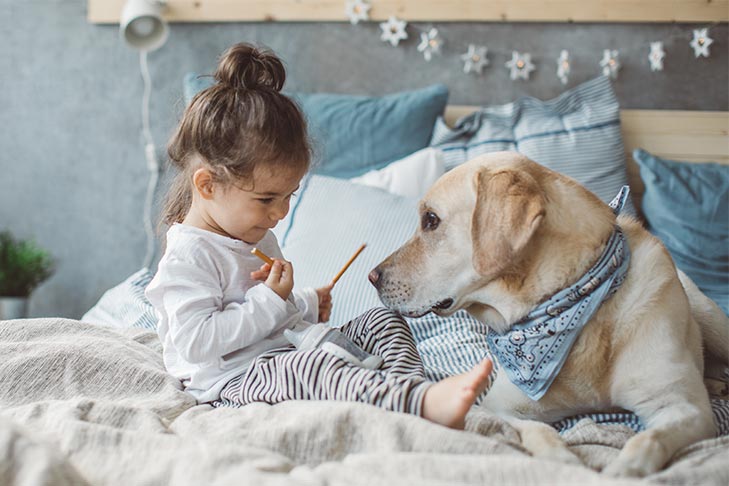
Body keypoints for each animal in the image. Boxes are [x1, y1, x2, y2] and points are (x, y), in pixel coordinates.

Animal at [372, 152, 724, 478]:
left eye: (431, 220)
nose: (372, 276)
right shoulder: (500, 407)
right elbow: (538, 431)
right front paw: (563, 461)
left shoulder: (684, 405)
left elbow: (647, 439)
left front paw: (623, 471)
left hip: (713, 320)